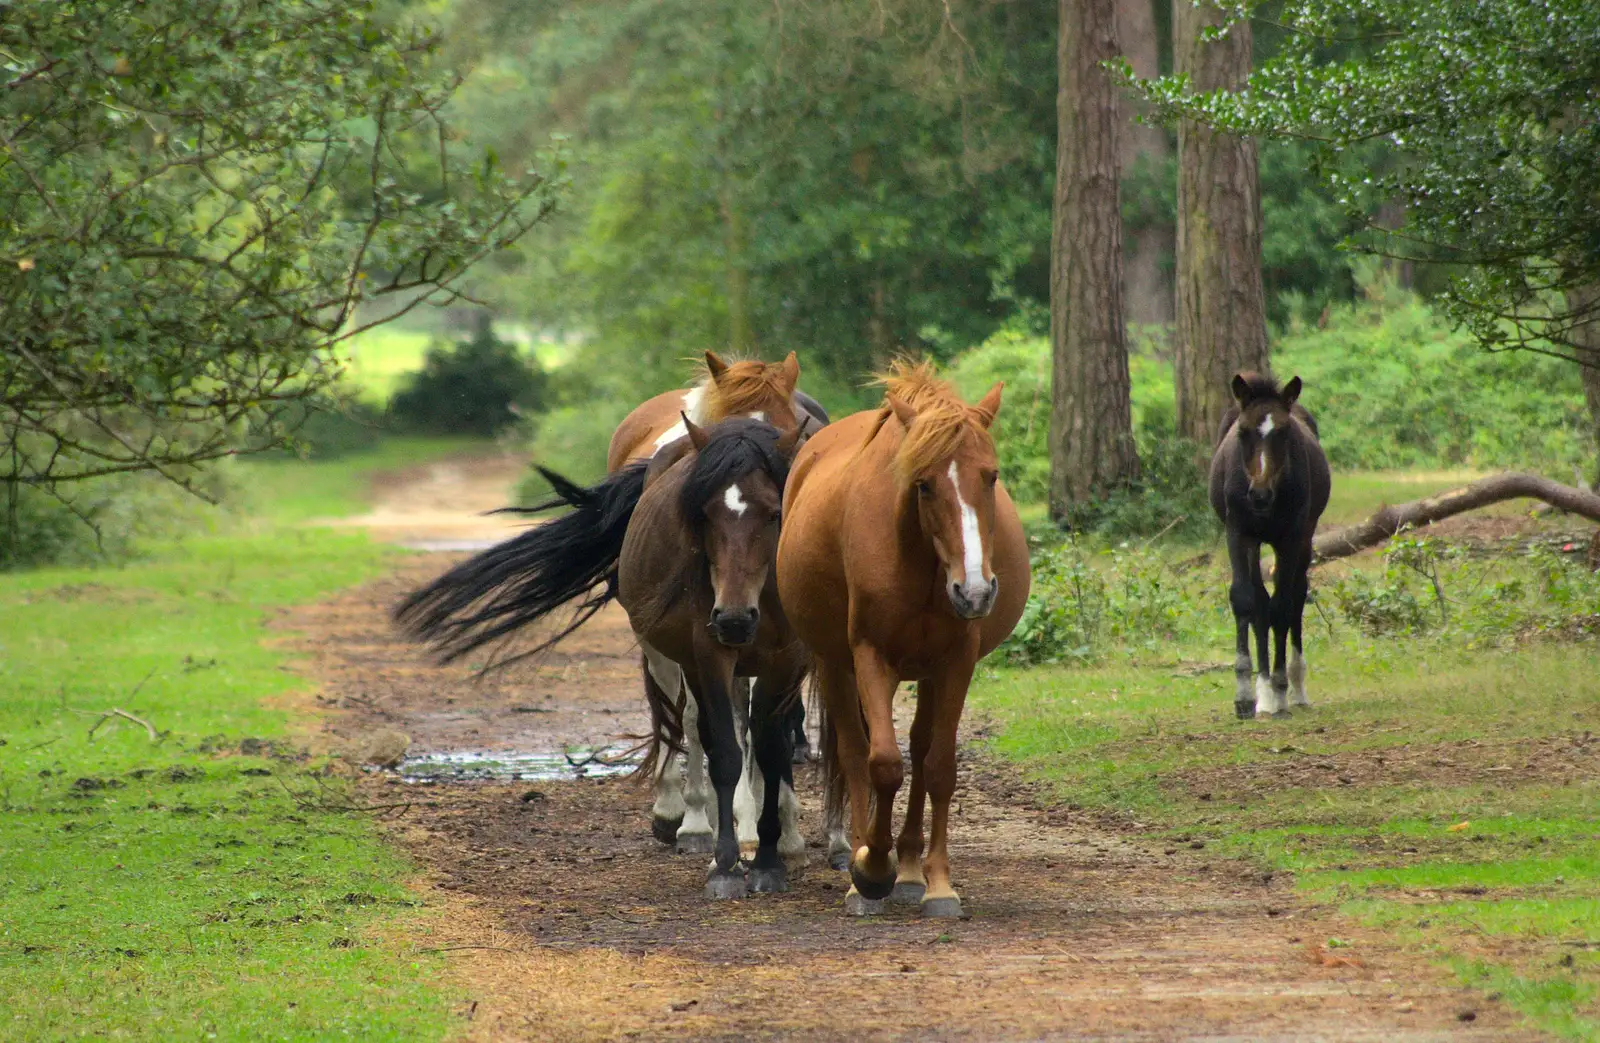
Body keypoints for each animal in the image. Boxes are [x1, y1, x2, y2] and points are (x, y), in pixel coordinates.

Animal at [774, 363, 1024, 915]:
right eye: (924, 485)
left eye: (991, 476)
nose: (975, 591)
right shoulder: (871, 656)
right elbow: (883, 764)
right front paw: (870, 869)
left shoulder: (956, 661)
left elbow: (939, 767)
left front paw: (938, 884)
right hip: (835, 662)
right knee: (855, 751)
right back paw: (867, 862)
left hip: (926, 670)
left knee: (921, 747)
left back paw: (909, 869)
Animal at [1203, 371, 1331, 719]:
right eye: (1243, 432)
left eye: (1284, 432)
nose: (1259, 495)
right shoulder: (1239, 533)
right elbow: (1246, 600)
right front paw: (1246, 696)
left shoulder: (1291, 537)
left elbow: (1282, 606)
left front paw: (1281, 687)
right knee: (1261, 600)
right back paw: (1263, 694)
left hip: (1305, 537)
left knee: (1297, 595)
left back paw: (1295, 687)